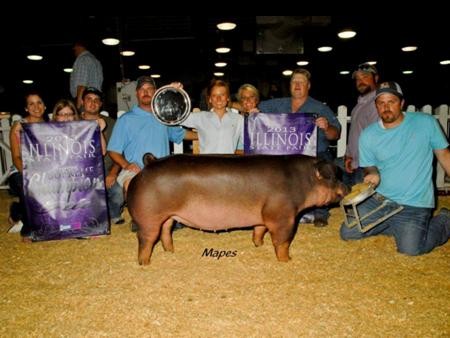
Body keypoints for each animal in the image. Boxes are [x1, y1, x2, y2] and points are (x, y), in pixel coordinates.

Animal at [126, 154, 348, 266]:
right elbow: (282, 241)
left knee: (165, 232)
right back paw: (145, 263)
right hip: (149, 219)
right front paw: (287, 260)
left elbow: (259, 230)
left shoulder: (263, 215)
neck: (304, 180)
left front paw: (258, 245)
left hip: (168, 216)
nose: (347, 188)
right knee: (145, 240)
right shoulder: (283, 216)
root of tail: (148, 164)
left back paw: (170, 251)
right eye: (334, 175)